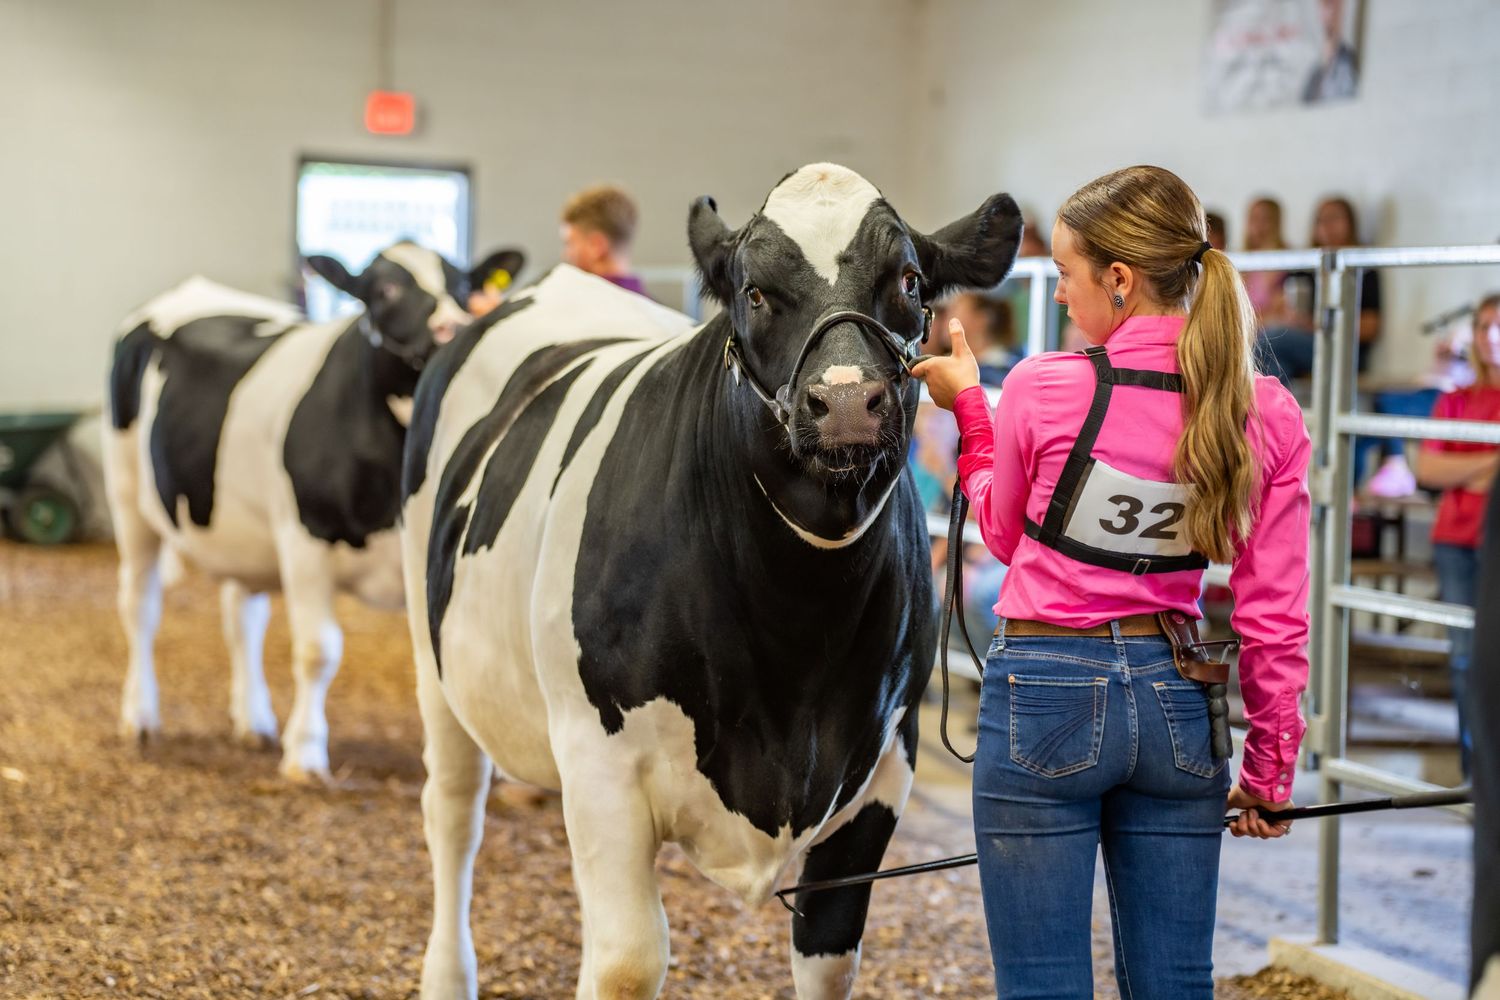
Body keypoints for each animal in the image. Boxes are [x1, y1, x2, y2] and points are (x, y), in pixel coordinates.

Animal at [104, 241, 520, 783]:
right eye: (384, 288)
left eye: (464, 285)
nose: (451, 326)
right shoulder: (305, 540)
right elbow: (318, 650)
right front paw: (304, 752)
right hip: (128, 497)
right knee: (140, 605)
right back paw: (140, 716)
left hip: (242, 531)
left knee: (242, 617)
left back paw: (254, 720)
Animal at [400, 163, 1022, 999]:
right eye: (753, 291)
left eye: (910, 280)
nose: (847, 401)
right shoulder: (600, 763)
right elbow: (626, 961)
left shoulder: (887, 764)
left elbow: (829, 955)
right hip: (430, 645)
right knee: (453, 810)